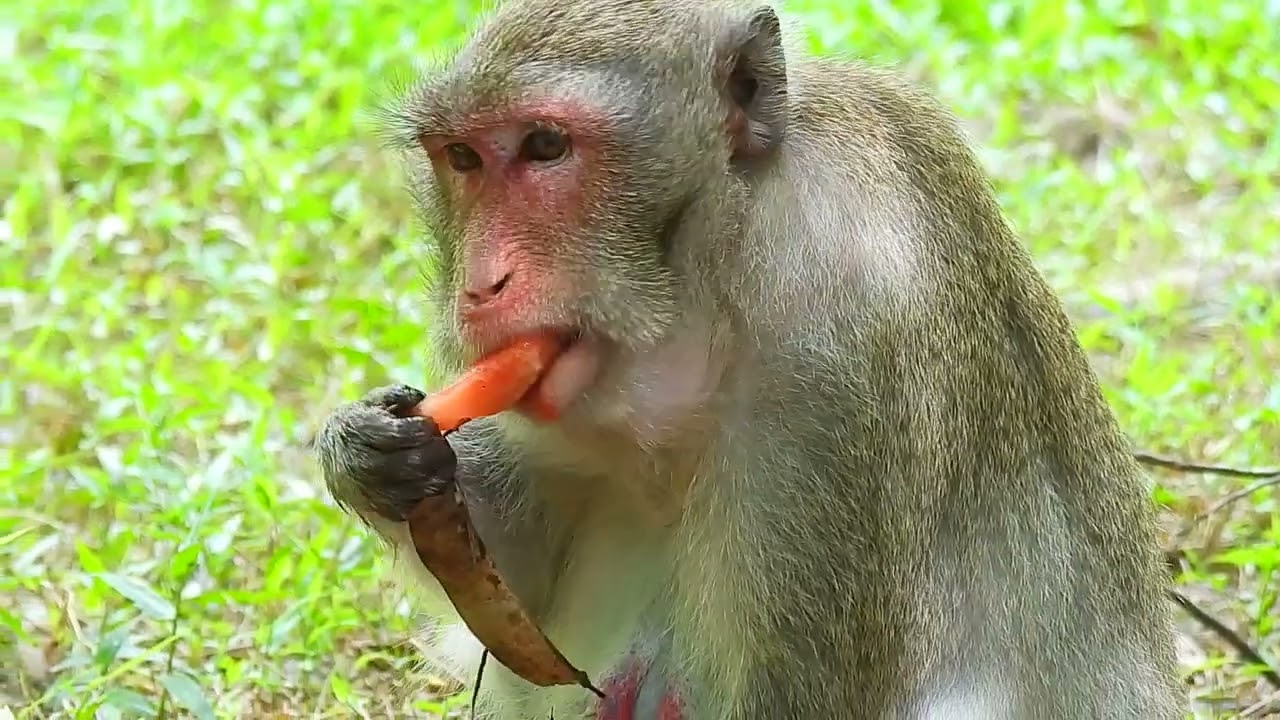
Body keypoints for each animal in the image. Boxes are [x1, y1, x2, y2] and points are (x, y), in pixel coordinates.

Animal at [314, 0, 1186, 717]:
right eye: (462, 159)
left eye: (546, 146)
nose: (480, 286)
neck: (721, 274)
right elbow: (523, 593)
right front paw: (368, 451)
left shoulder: (838, 355)